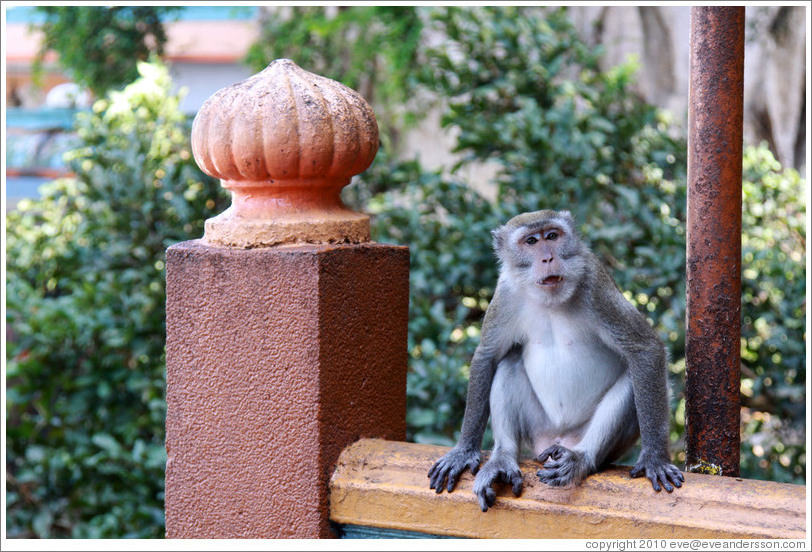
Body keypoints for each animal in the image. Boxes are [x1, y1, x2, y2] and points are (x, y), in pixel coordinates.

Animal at [428, 209, 680, 512]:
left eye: (552, 236)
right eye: (531, 241)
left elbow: (644, 349)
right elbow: (488, 356)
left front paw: (655, 458)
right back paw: (503, 458)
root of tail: (557, 439)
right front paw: (464, 451)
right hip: (538, 429)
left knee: (632, 380)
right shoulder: (506, 293)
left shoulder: (594, 286)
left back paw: (579, 459)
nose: (548, 258)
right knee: (509, 362)